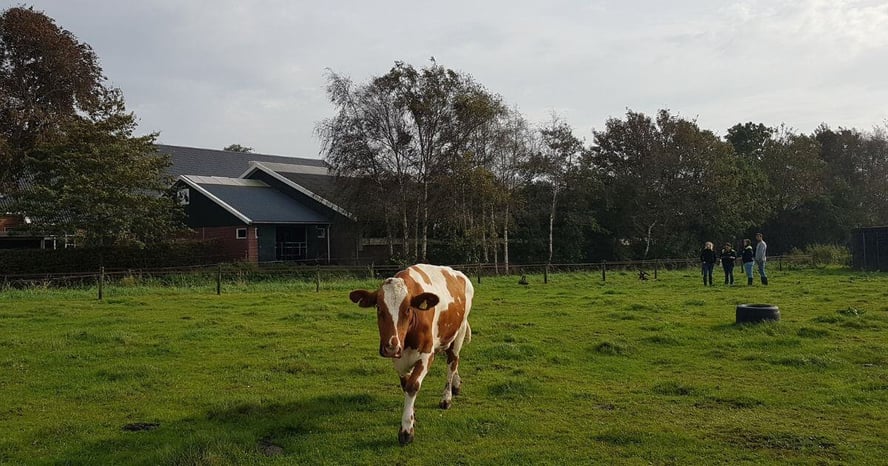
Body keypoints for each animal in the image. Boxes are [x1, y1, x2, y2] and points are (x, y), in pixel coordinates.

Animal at [348, 264, 476, 446]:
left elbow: (413, 385)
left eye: (408, 309)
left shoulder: (426, 354)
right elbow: (405, 384)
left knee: (452, 363)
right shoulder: (399, 359)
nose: (391, 346)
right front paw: (412, 415)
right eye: (379, 308)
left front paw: (406, 429)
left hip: (459, 332)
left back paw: (447, 397)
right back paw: (456, 385)